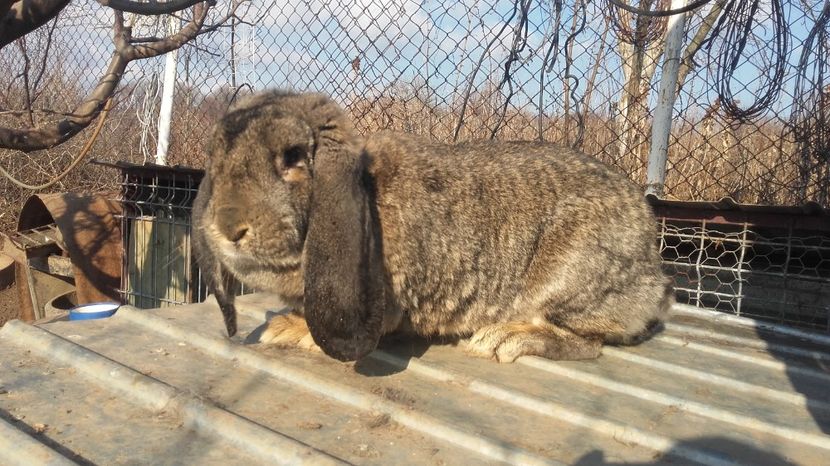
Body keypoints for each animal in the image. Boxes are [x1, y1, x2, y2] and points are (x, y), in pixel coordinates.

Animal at [192, 89, 672, 362]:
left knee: (588, 343)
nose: (227, 227)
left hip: (570, 277)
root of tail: (654, 275)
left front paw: (290, 331)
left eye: (293, 158)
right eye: (215, 157)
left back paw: (503, 340)